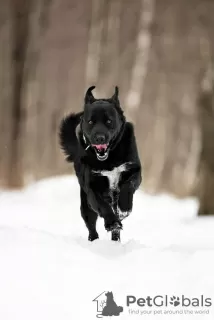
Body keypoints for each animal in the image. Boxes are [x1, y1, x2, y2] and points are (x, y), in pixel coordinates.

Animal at [59, 86, 141, 241]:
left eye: (109, 121)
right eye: (90, 122)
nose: (99, 138)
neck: (110, 159)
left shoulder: (133, 171)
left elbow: (128, 186)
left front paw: (124, 208)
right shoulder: (93, 187)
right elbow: (103, 206)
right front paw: (111, 222)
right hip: (85, 204)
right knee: (91, 226)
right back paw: (95, 239)